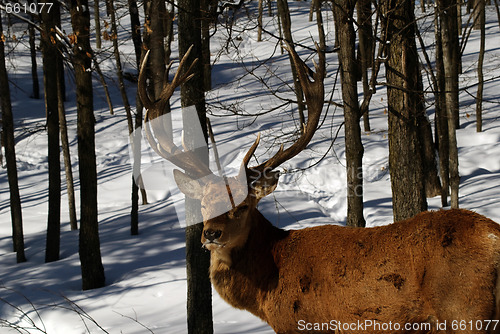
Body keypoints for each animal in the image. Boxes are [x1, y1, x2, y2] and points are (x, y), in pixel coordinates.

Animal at [139, 45, 500, 332]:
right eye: (203, 204)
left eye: (241, 207)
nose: (210, 234)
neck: (267, 289)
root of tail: (494, 237)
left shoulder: (302, 324)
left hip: (464, 310)